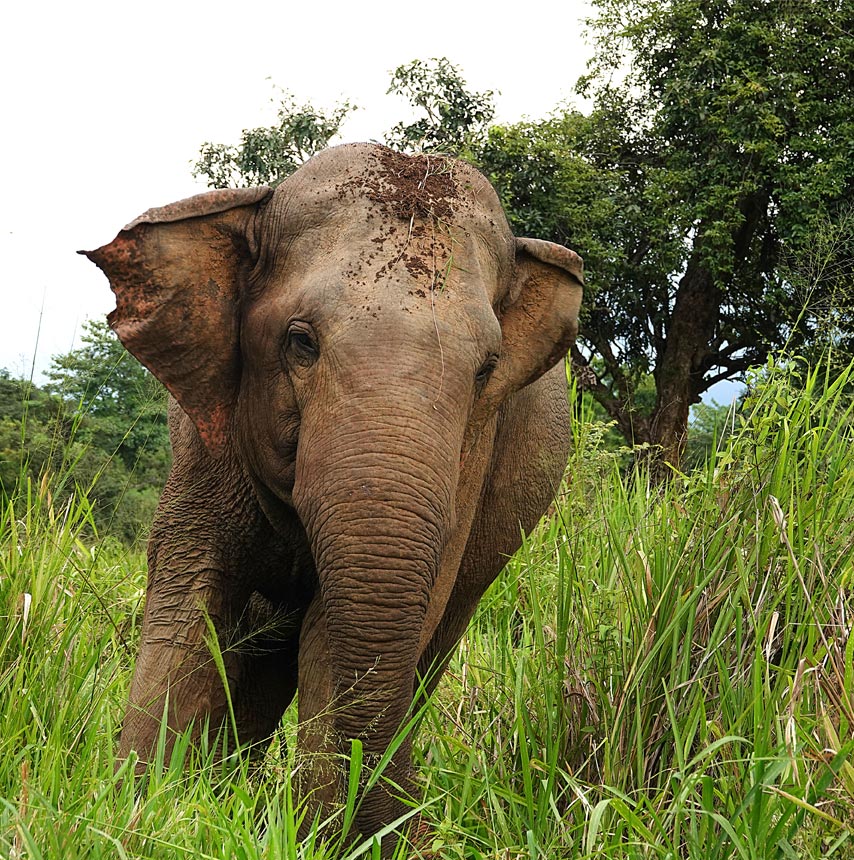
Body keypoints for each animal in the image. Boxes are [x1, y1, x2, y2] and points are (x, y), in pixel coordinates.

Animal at [83, 141, 580, 852]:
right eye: (301, 341)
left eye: (487, 370)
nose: (419, 830)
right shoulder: (206, 434)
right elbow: (194, 594)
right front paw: (143, 813)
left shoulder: (473, 456)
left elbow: (346, 627)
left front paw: (320, 835)